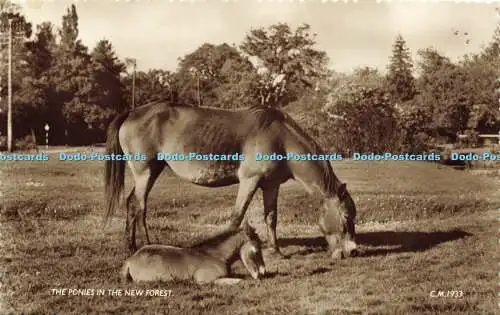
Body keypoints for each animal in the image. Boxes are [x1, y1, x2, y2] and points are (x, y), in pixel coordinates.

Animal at [103, 102, 358, 260]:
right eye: (347, 217)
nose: (353, 251)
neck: (281, 139)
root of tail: (132, 112)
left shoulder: (271, 185)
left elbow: (271, 218)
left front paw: (277, 251)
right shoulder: (249, 181)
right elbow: (236, 218)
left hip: (151, 171)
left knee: (131, 204)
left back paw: (131, 246)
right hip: (145, 172)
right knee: (140, 207)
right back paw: (148, 245)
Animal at [120, 221, 266, 286]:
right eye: (256, 250)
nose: (263, 273)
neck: (215, 255)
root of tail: (131, 259)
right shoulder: (204, 280)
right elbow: (240, 280)